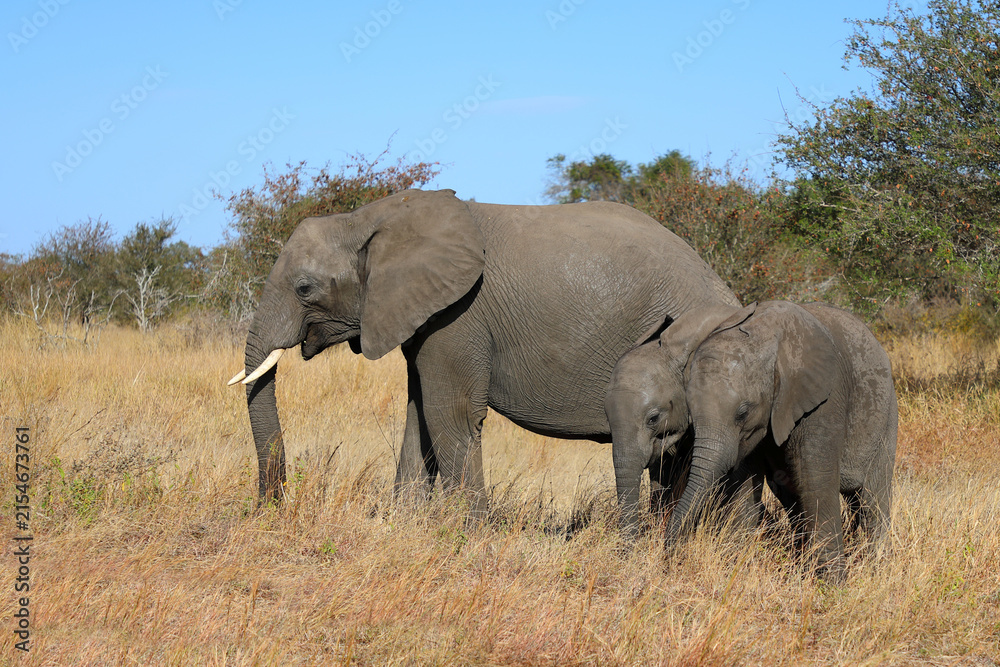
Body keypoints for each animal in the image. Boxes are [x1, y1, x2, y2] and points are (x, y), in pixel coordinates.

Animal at [227, 188, 740, 514]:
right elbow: (419, 413)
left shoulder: (459, 316)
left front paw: (463, 531)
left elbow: (449, 413)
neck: (370, 218)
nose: (269, 509)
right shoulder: (423, 316)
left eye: (304, 288)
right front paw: (406, 524)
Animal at [608, 300, 897, 578]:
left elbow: (815, 478)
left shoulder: (824, 397)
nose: (666, 557)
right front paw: (735, 568)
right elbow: (743, 484)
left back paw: (873, 567)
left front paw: (832, 586)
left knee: (872, 498)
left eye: (653, 418)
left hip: (885, 417)